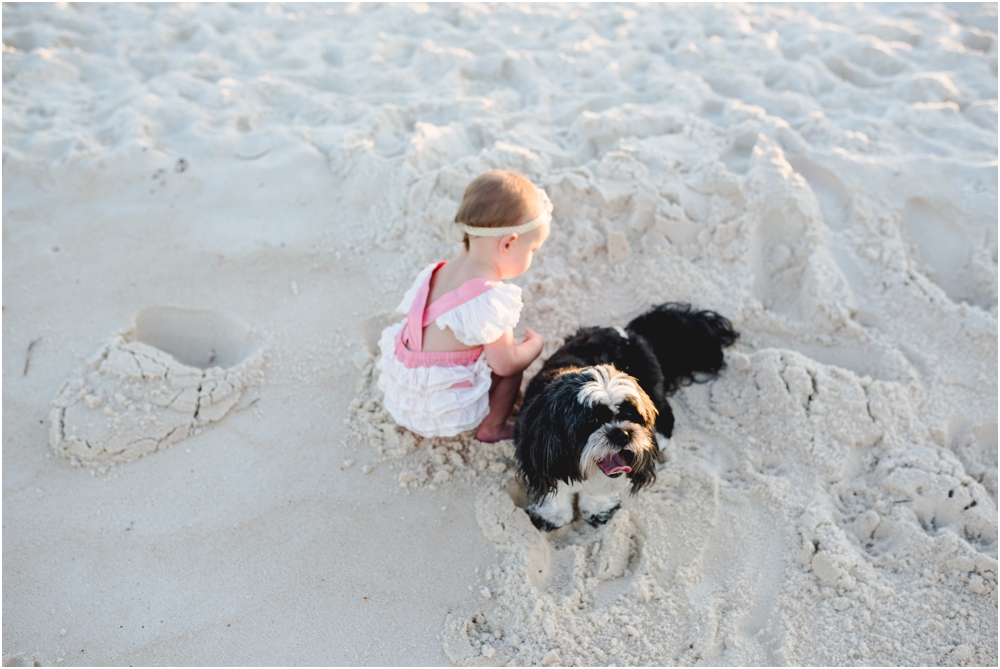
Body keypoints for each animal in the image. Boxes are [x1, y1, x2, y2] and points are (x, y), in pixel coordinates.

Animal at [516, 304, 736, 532]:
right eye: (591, 421)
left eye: (629, 414)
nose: (621, 433)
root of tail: (632, 331)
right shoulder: (538, 454)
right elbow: (556, 487)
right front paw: (552, 515)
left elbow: (596, 490)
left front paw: (597, 507)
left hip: (652, 386)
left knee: (665, 417)